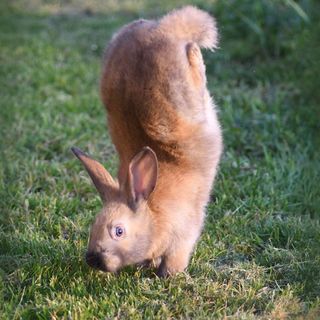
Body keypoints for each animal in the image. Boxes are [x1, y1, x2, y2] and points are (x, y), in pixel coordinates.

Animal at [72, 6, 222, 278]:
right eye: (93, 224)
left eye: (119, 231)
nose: (93, 260)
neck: (153, 213)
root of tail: (164, 28)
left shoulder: (183, 238)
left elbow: (174, 259)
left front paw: (167, 276)